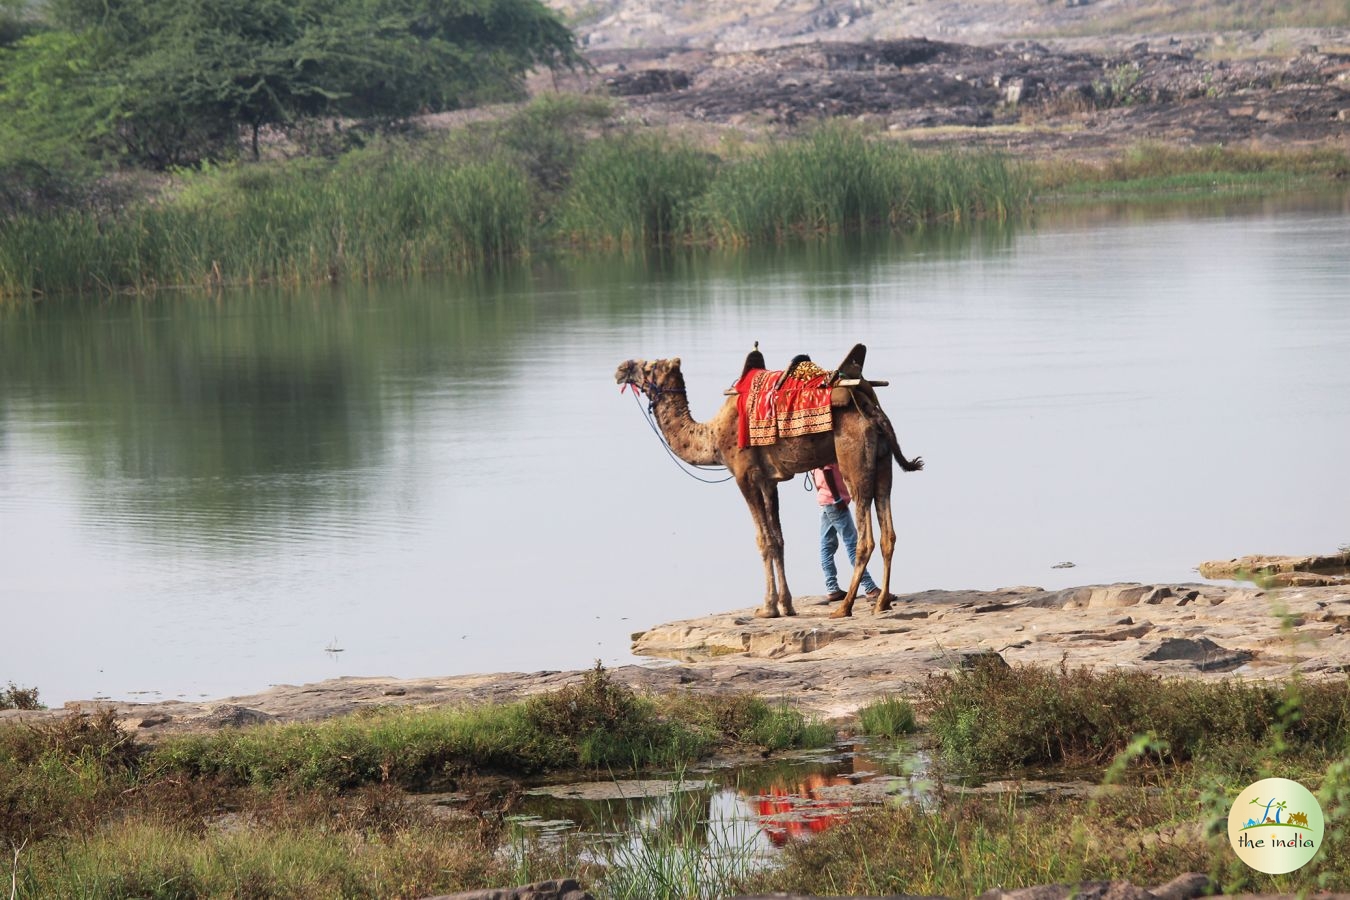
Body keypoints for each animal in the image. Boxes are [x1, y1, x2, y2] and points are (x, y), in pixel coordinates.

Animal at [618, 348, 923, 620]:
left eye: (649, 366)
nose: (621, 368)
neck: (712, 435)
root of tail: (870, 407)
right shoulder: (768, 481)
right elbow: (778, 540)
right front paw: (785, 606)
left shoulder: (745, 476)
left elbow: (762, 540)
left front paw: (766, 608)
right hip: (883, 463)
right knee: (888, 533)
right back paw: (882, 603)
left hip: (854, 461)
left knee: (864, 538)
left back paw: (844, 607)